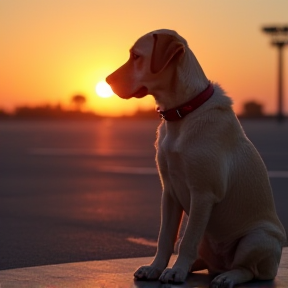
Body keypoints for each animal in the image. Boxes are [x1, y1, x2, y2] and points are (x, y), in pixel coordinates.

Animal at [106, 29, 286, 288]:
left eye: (136, 56)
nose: (107, 81)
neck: (182, 113)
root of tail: (220, 264)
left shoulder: (203, 193)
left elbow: (188, 239)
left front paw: (176, 272)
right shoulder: (169, 192)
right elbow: (164, 238)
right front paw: (155, 268)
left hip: (257, 238)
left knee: (248, 270)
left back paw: (226, 277)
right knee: (200, 258)